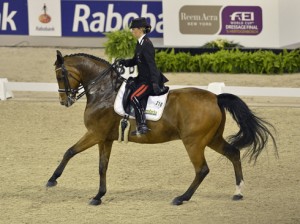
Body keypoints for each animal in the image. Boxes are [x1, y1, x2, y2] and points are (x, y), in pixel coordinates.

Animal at [45, 50, 278, 206]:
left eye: (59, 75)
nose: (64, 101)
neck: (104, 92)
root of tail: (215, 97)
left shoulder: (95, 134)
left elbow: (70, 151)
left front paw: (52, 180)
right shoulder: (105, 138)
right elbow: (102, 167)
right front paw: (98, 196)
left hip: (194, 142)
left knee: (202, 169)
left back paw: (182, 198)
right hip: (212, 139)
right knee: (233, 153)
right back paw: (238, 192)